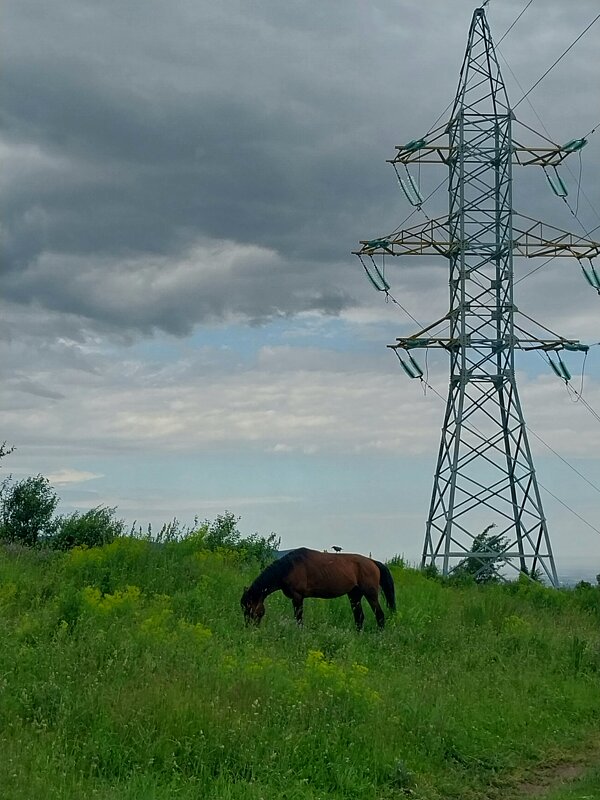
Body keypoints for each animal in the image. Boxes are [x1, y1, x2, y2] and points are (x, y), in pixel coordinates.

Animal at [239, 552, 394, 632]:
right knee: (359, 617)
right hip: (354, 595)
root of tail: (373, 562)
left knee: (380, 616)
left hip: (370, 594)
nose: (248, 627)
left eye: (249, 608)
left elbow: (298, 618)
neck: (289, 567)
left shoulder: (297, 597)